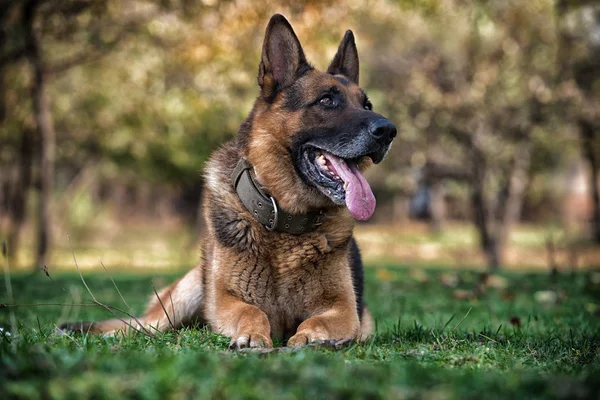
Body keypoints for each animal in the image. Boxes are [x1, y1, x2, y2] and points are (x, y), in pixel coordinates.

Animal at [62, 14, 398, 348]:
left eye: (366, 105)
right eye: (326, 100)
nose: (389, 130)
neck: (285, 222)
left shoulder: (345, 310)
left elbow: (319, 321)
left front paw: (309, 337)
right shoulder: (225, 299)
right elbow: (252, 311)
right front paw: (252, 335)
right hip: (183, 296)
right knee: (142, 325)